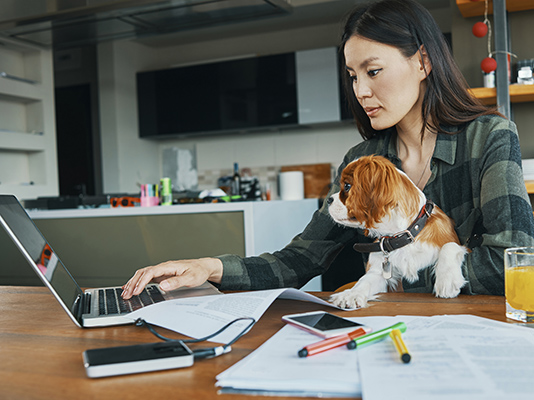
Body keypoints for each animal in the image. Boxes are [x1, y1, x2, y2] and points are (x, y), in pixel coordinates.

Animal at [328, 155, 466, 308]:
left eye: (347, 186)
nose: (328, 199)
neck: (403, 234)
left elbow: (450, 246)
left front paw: (447, 281)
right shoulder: (378, 273)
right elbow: (363, 282)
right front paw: (350, 295)